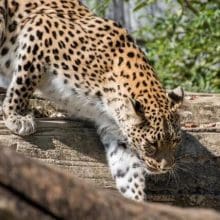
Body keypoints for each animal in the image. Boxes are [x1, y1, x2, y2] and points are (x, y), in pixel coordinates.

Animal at [0, 0, 183, 202]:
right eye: (150, 145)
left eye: (175, 141)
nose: (165, 167)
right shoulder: (40, 29)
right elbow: (23, 82)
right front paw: (15, 117)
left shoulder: (114, 129)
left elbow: (128, 172)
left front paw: (136, 202)